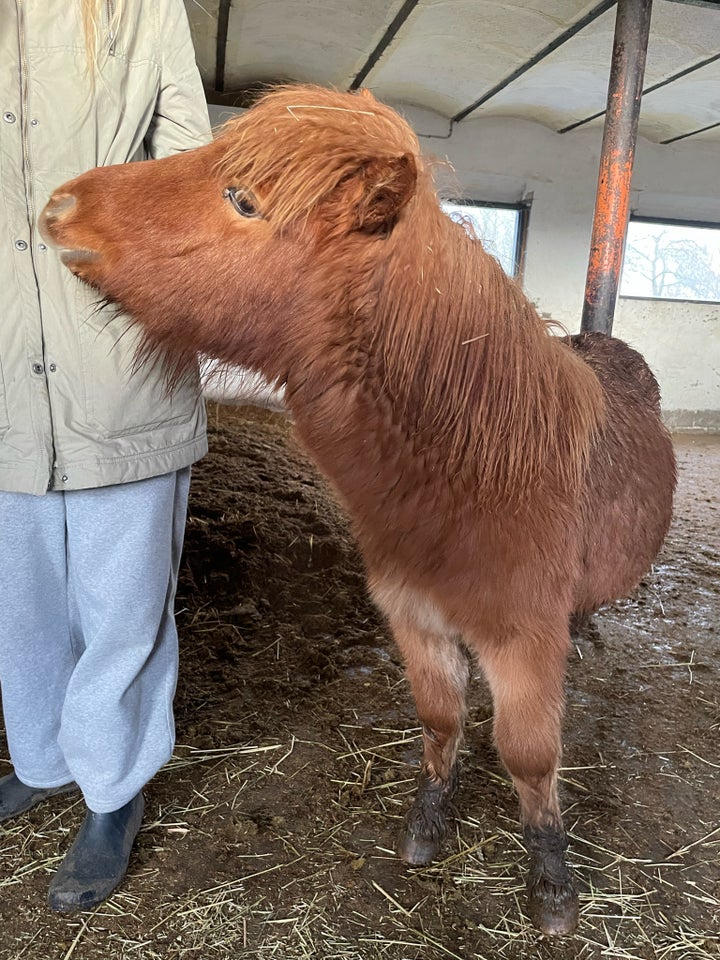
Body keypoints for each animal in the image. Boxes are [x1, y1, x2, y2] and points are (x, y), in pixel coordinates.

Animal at [42, 84, 676, 936]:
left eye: (243, 199)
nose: (59, 206)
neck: (476, 474)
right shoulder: (415, 619)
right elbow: (441, 723)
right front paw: (427, 823)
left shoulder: (522, 642)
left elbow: (530, 756)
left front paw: (551, 881)